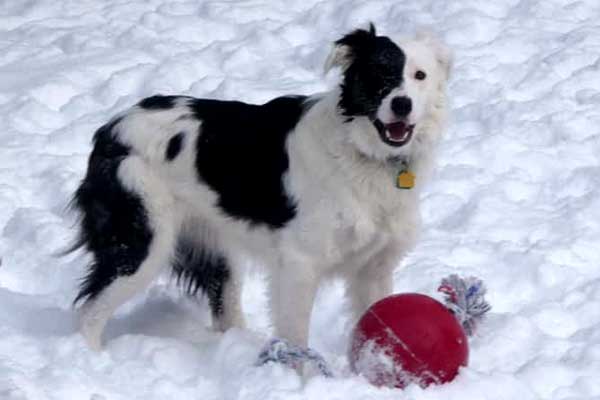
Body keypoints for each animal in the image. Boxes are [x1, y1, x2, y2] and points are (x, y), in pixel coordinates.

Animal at [69, 25, 450, 350]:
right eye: (379, 72)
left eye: (420, 76)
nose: (402, 104)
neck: (365, 154)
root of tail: (111, 128)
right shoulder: (299, 262)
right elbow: (297, 339)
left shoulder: (374, 267)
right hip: (143, 240)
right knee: (89, 312)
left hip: (216, 244)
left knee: (224, 309)